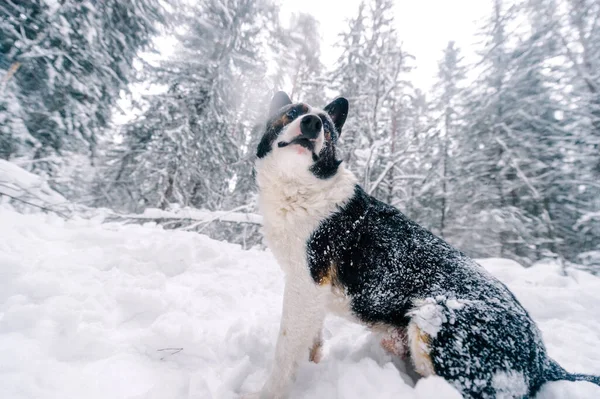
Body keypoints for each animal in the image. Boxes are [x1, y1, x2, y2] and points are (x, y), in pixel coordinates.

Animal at [251, 92, 600, 398]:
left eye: (325, 124)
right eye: (293, 113)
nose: (312, 123)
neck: (304, 189)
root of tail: (542, 358)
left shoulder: (306, 284)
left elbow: (285, 351)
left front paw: (266, 393)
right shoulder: (311, 294)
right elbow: (311, 339)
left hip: (432, 321)